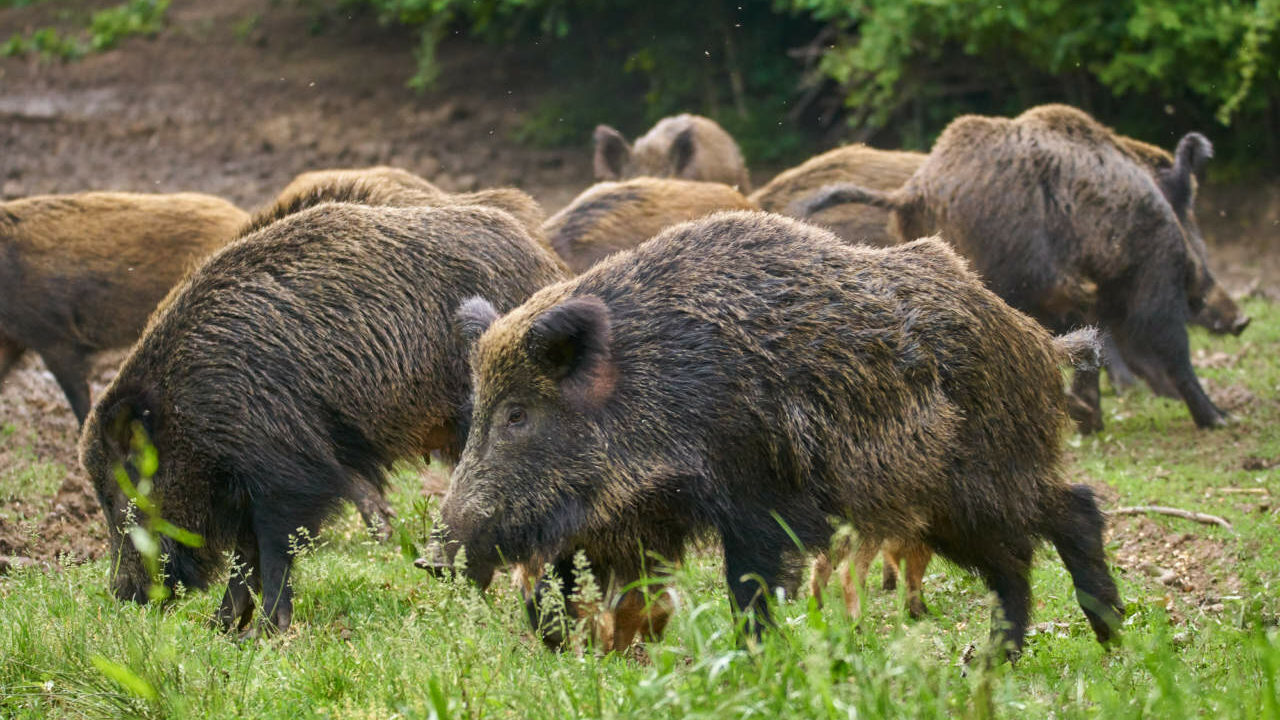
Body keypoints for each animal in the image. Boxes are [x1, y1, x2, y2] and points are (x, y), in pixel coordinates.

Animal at [79, 201, 567, 633]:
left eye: (118, 494)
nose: (122, 594)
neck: (189, 406)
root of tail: (549, 268)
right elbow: (245, 557)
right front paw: (220, 630)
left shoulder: (287, 472)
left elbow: (274, 550)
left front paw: (267, 634)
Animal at [432, 210, 1123, 659]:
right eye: (479, 408)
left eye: (518, 414)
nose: (436, 553)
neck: (658, 386)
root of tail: (1040, 342)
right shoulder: (635, 518)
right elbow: (583, 582)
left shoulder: (755, 497)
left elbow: (750, 587)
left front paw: (755, 663)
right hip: (940, 505)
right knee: (1017, 556)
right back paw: (997, 660)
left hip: (980, 478)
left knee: (1071, 511)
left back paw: (1108, 637)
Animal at [799, 104, 1235, 431]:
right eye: (1189, 208)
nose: (1240, 319)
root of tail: (913, 191)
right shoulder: (1152, 273)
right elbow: (1168, 343)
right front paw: (1220, 419)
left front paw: (1090, 417)